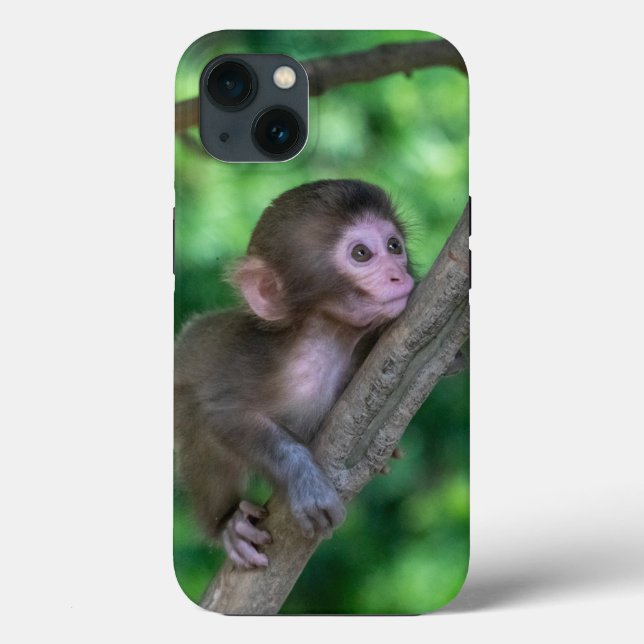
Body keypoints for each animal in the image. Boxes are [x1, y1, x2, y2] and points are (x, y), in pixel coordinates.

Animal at [174, 179, 415, 569]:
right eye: (361, 253)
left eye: (395, 245)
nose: (400, 274)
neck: (325, 344)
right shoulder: (252, 367)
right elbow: (222, 414)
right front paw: (304, 481)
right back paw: (228, 524)